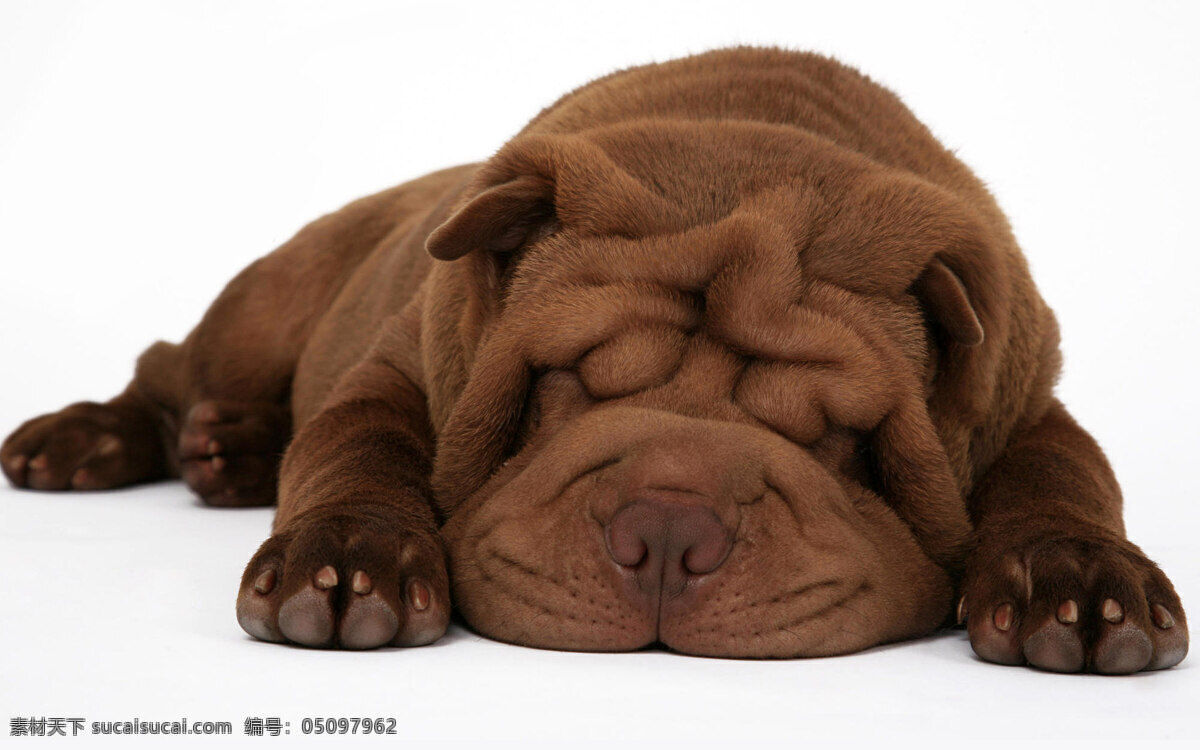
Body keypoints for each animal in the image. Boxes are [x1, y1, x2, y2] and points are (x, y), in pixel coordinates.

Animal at [0, 46, 1185, 672]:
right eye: (562, 386)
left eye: (840, 439)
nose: (667, 530)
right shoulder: (399, 370)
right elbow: (354, 446)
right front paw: (348, 561)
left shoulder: (1029, 405)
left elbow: (1067, 474)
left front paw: (1078, 581)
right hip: (265, 302)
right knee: (169, 370)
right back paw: (88, 440)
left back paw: (232, 453)